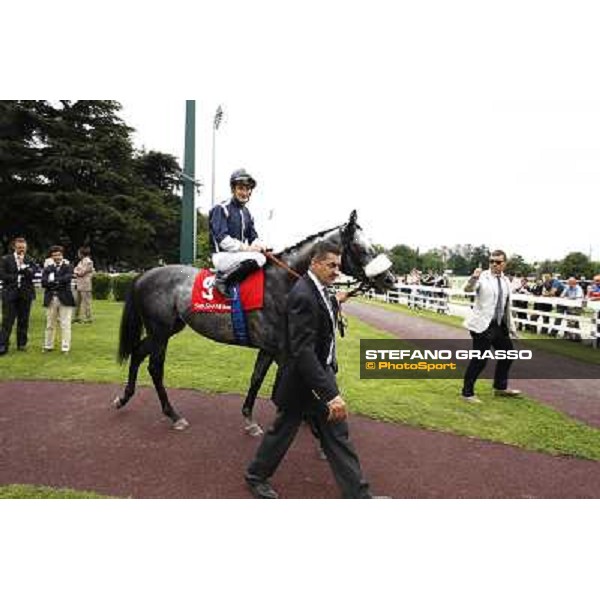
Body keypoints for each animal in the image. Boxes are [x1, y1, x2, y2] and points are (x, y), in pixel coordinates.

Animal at [115, 209, 396, 428]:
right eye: (363, 247)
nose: (390, 279)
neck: (282, 283)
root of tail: (144, 274)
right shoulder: (283, 351)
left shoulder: (270, 347)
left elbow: (257, 378)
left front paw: (249, 418)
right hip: (160, 331)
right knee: (154, 367)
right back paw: (173, 415)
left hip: (167, 328)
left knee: (137, 353)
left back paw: (124, 397)